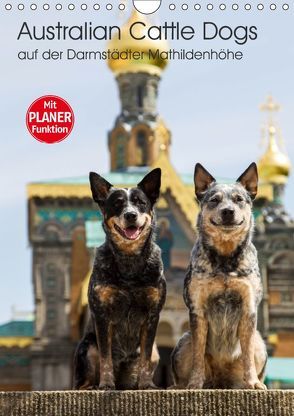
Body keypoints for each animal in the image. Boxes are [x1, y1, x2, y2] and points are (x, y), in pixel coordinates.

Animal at [73, 168, 165, 390]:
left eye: (140, 202)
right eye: (117, 204)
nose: (131, 215)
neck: (129, 261)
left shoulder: (152, 314)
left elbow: (145, 357)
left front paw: (146, 385)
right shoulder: (102, 314)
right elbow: (106, 357)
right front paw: (106, 384)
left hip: (156, 352)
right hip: (87, 347)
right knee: (82, 382)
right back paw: (92, 387)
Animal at [171, 162, 268, 390]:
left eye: (239, 199)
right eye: (214, 199)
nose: (228, 211)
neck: (224, 259)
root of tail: (221, 381)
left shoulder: (248, 308)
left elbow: (248, 355)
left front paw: (253, 383)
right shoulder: (198, 309)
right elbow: (198, 355)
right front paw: (194, 384)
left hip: (261, 344)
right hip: (182, 343)